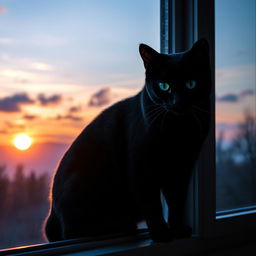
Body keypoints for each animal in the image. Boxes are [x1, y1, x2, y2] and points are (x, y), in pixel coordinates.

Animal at [45, 39, 211, 243]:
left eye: (191, 84)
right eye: (164, 86)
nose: (177, 103)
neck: (178, 130)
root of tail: (51, 216)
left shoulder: (182, 168)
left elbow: (176, 202)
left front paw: (178, 230)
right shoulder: (141, 168)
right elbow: (152, 204)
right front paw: (161, 233)